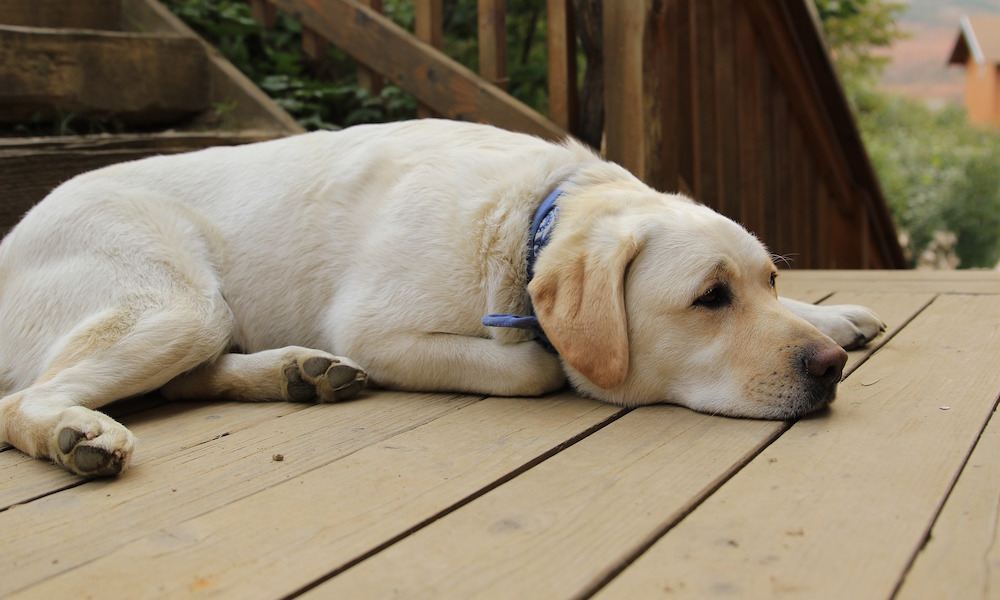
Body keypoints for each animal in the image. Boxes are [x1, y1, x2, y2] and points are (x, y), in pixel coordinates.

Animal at [0, 119, 884, 476]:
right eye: (709, 298)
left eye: (768, 279)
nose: (830, 369)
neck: (532, 219)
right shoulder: (377, 328)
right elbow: (535, 365)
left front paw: (835, 313)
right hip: (178, 302)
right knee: (22, 403)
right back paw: (78, 435)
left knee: (189, 377)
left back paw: (298, 372)